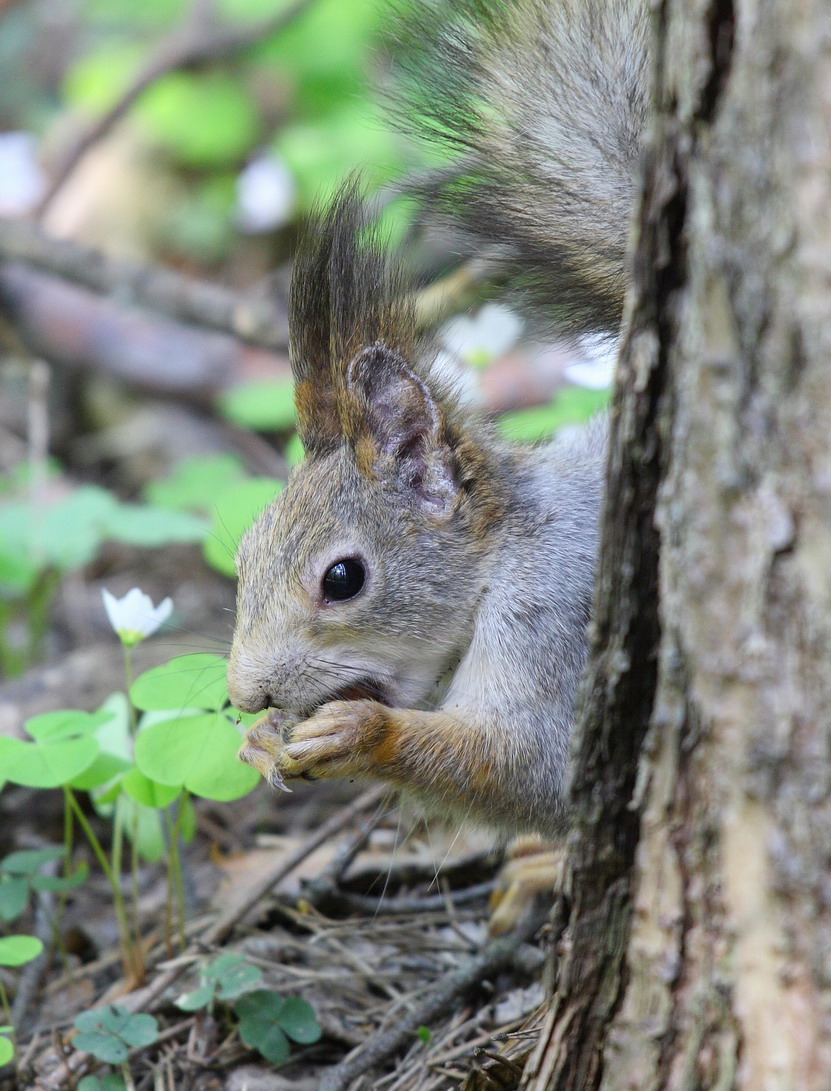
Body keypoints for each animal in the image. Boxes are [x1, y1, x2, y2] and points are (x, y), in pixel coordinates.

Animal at [224, 0, 645, 833]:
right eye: (243, 554)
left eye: (343, 578)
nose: (245, 695)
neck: (504, 551)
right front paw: (263, 739)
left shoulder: (552, 617)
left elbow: (530, 769)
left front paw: (363, 733)